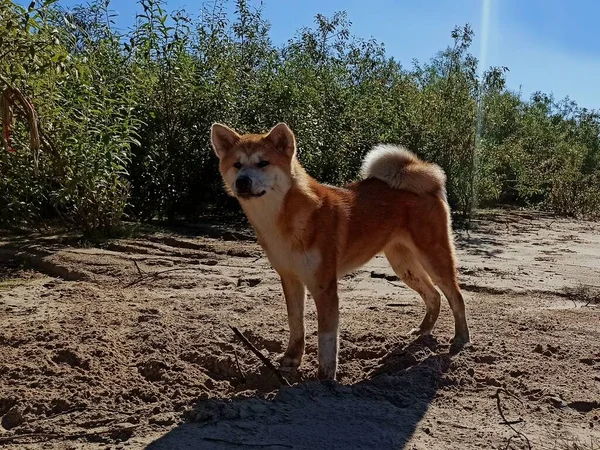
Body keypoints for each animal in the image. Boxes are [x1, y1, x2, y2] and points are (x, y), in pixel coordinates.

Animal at [210, 122, 468, 380]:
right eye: (237, 164)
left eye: (263, 163)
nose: (243, 181)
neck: (282, 221)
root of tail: (426, 179)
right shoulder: (291, 279)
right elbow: (296, 323)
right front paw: (291, 359)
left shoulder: (324, 285)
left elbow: (326, 339)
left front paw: (325, 379)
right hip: (404, 266)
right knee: (433, 296)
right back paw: (423, 331)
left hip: (434, 258)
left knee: (456, 297)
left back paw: (461, 338)